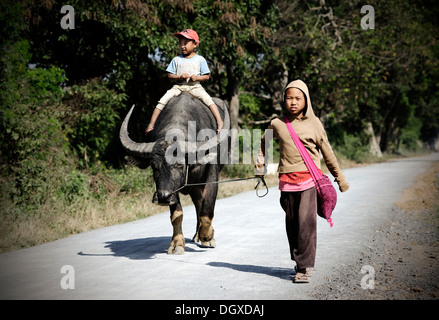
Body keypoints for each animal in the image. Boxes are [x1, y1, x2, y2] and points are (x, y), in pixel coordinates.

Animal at [119, 93, 230, 255]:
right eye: (154, 166)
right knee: (197, 202)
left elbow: (207, 211)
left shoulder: (211, 177)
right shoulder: (172, 188)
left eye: (179, 164)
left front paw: (208, 237)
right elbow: (177, 215)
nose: (163, 197)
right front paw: (177, 244)